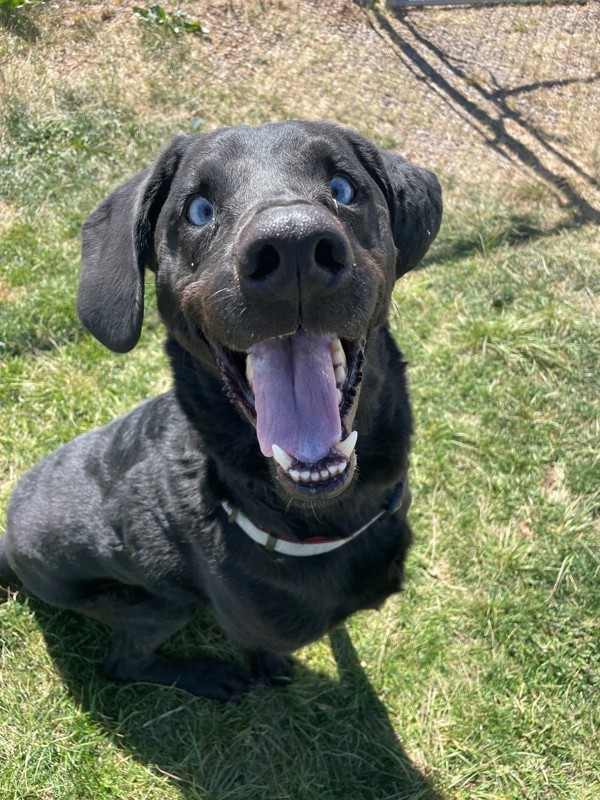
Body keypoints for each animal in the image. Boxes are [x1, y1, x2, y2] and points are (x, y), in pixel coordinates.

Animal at [0, 120, 440, 700]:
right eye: (199, 210)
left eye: (343, 187)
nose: (293, 246)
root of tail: (7, 544)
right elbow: (257, 646)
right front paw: (264, 666)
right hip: (158, 603)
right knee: (124, 662)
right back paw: (208, 677)